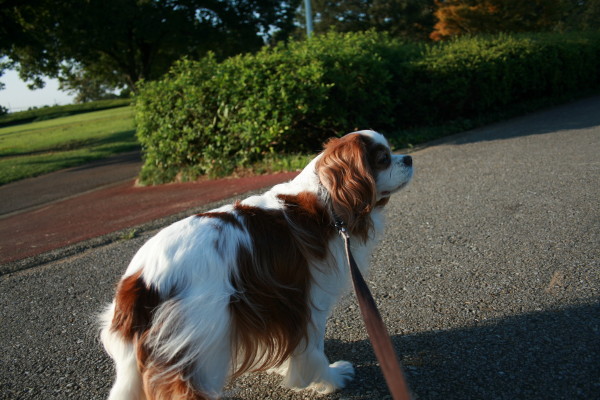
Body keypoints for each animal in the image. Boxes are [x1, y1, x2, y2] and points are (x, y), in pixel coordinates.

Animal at [101, 130, 414, 398]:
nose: (409, 158)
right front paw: (330, 379)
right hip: (200, 341)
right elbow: (312, 349)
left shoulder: (274, 301)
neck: (327, 201)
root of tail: (139, 278)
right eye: (383, 159)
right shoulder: (308, 299)